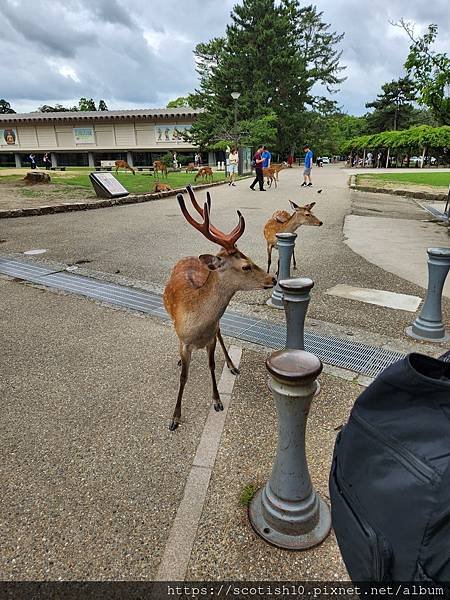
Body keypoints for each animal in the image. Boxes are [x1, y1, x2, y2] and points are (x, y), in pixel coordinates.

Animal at [162, 185, 274, 428]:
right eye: (245, 266)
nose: (273, 278)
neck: (198, 325)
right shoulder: (185, 342)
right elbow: (184, 377)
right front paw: (175, 417)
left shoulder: (211, 337)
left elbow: (212, 365)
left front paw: (217, 400)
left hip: (217, 326)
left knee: (221, 332)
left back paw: (231, 365)